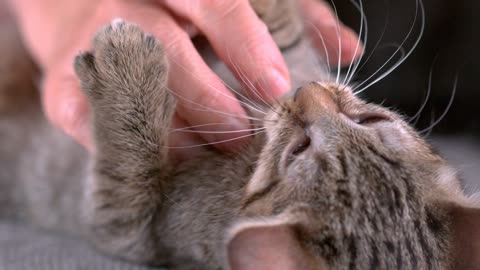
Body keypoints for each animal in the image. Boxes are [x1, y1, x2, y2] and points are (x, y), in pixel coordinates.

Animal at [0, 0, 480, 270]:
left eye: (298, 150)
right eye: (372, 122)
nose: (309, 95)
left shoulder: (132, 232)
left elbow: (130, 174)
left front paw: (127, 77)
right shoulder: (284, 73)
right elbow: (281, 52)